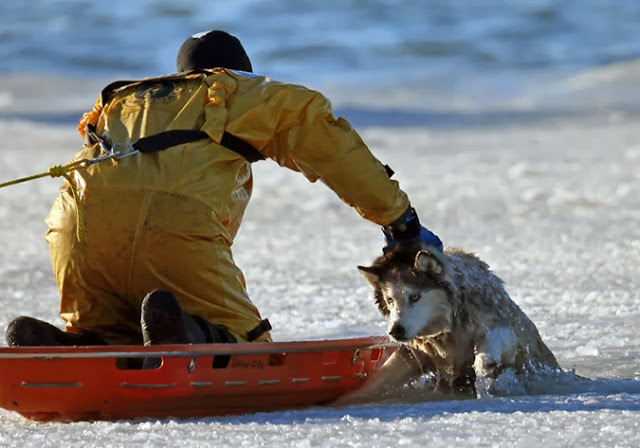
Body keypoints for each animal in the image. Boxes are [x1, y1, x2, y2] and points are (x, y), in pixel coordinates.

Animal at [340, 243, 560, 404]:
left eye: (415, 296)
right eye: (390, 300)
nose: (395, 331)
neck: (449, 329)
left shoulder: (501, 325)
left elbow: (493, 341)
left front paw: (484, 362)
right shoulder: (416, 352)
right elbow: (379, 380)